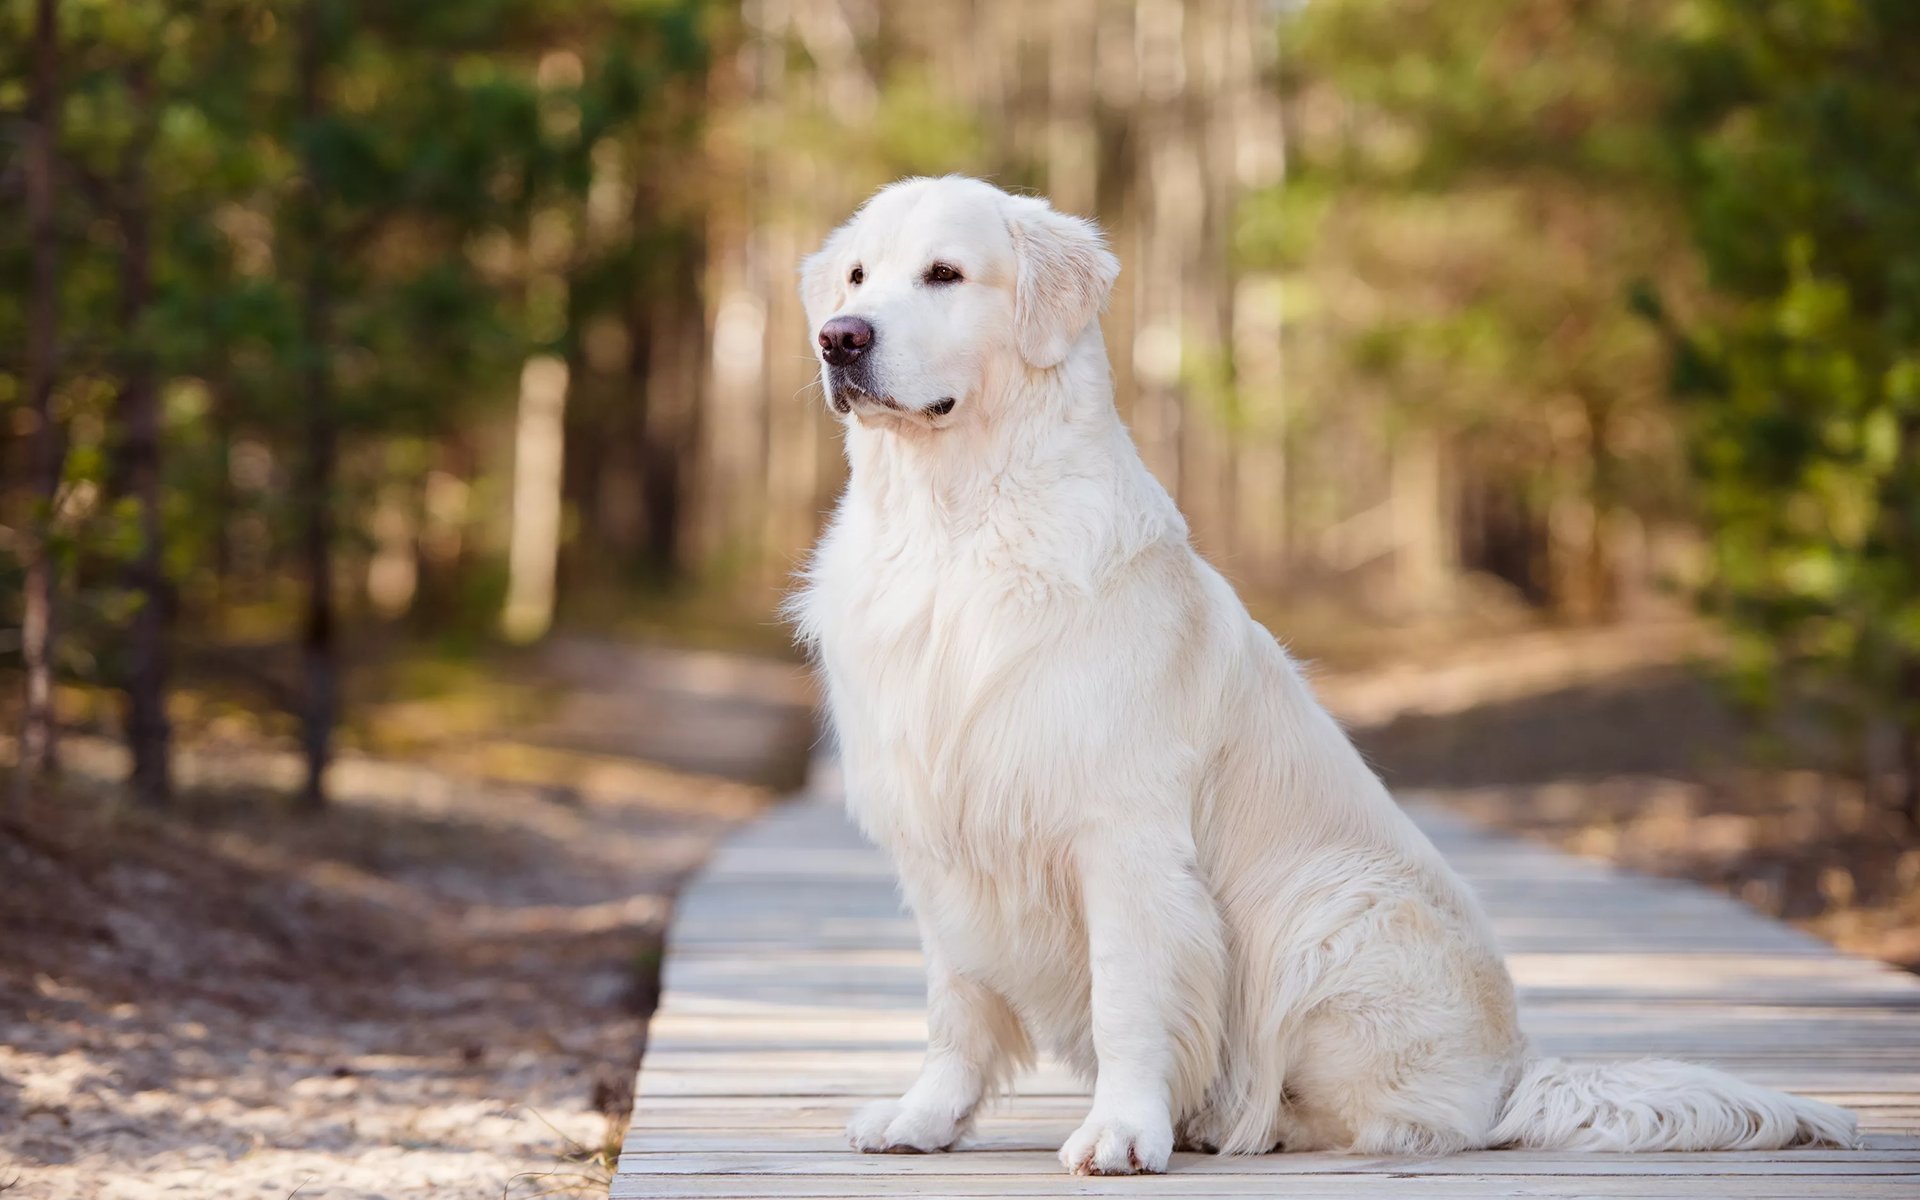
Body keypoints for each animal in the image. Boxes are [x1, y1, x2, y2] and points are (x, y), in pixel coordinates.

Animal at [787, 175, 1850, 1167]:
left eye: (945, 274)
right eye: (856, 278)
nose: (838, 340)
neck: (956, 526)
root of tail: (1519, 1069)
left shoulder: (1121, 833)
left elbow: (1128, 997)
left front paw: (1123, 1130)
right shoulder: (943, 835)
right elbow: (957, 1005)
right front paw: (925, 1118)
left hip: (1331, 906)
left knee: (1409, 1120)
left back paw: (1249, 1123)